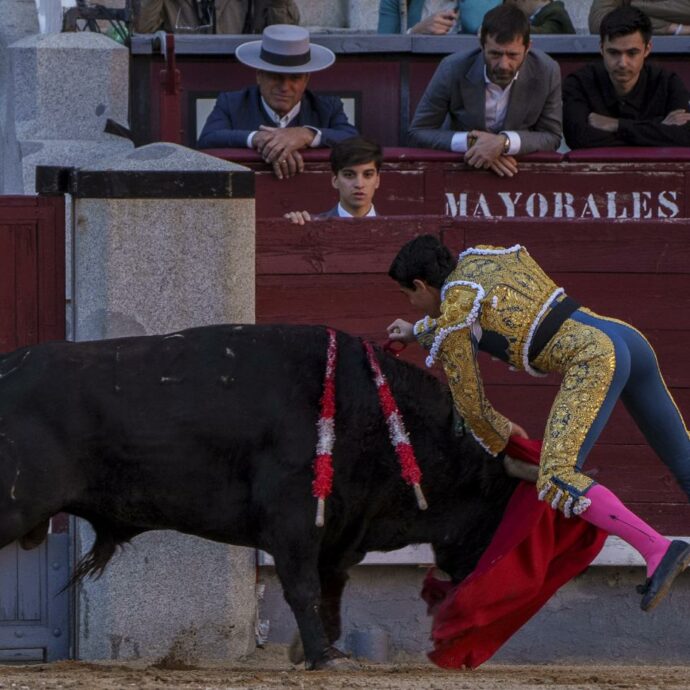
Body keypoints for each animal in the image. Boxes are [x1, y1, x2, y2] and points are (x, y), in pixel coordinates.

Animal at [0, 322, 516, 668]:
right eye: (497, 502)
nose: (484, 573)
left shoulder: (339, 528)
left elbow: (332, 587)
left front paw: (325, 649)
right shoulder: (293, 520)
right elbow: (304, 588)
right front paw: (321, 657)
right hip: (14, 506)